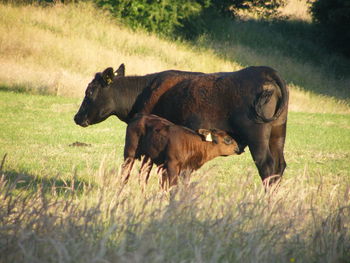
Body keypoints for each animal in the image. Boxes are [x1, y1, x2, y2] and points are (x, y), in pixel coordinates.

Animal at [73, 64, 288, 186]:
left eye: (89, 91)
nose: (77, 117)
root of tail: (264, 71)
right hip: (277, 134)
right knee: (279, 166)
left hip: (257, 137)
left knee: (267, 167)